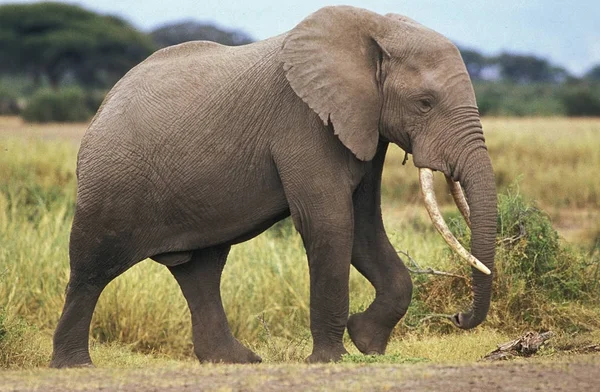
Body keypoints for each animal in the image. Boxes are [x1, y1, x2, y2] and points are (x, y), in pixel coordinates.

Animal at [50, 6, 496, 368]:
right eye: (425, 103)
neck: (376, 28)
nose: (458, 316)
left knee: (200, 269)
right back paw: (74, 365)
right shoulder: (302, 122)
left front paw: (368, 344)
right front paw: (331, 360)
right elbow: (331, 223)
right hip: (109, 182)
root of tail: (103, 106)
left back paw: (235, 361)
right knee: (92, 269)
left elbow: (365, 228)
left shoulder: (363, 125)